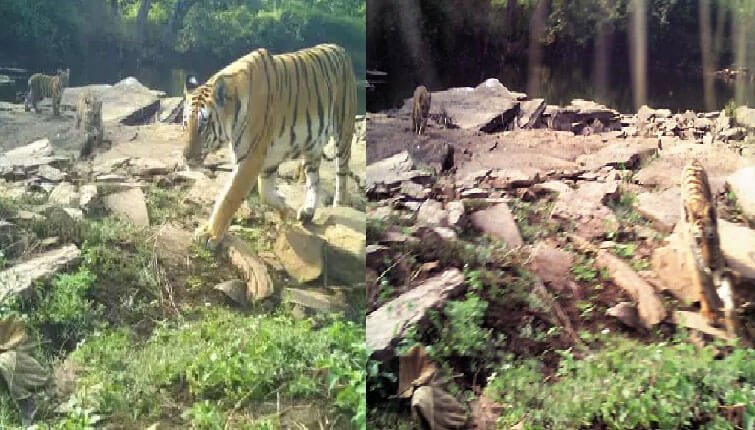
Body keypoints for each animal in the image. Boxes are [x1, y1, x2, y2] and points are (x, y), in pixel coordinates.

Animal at [185, 42, 358, 249]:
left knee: (342, 174)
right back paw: (308, 211)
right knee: (314, 179)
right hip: (312, 145)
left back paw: (338, 206)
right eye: (185, 123)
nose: (186, 156)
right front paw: (283, 207)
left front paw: (209, 234)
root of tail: (340, 49)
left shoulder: (251, 158)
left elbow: (229, 197)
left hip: (343, 130)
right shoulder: (267, 158)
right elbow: (264, 192)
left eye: (203, 126)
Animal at [680, 160, 740, 338]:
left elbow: (728, 296)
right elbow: (702, 288)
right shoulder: (696, 266)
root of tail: (693, 159)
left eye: (711, 237)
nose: (710, 266)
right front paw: (709, 314)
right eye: (698, 240)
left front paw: (732, 323)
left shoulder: (720, 266)